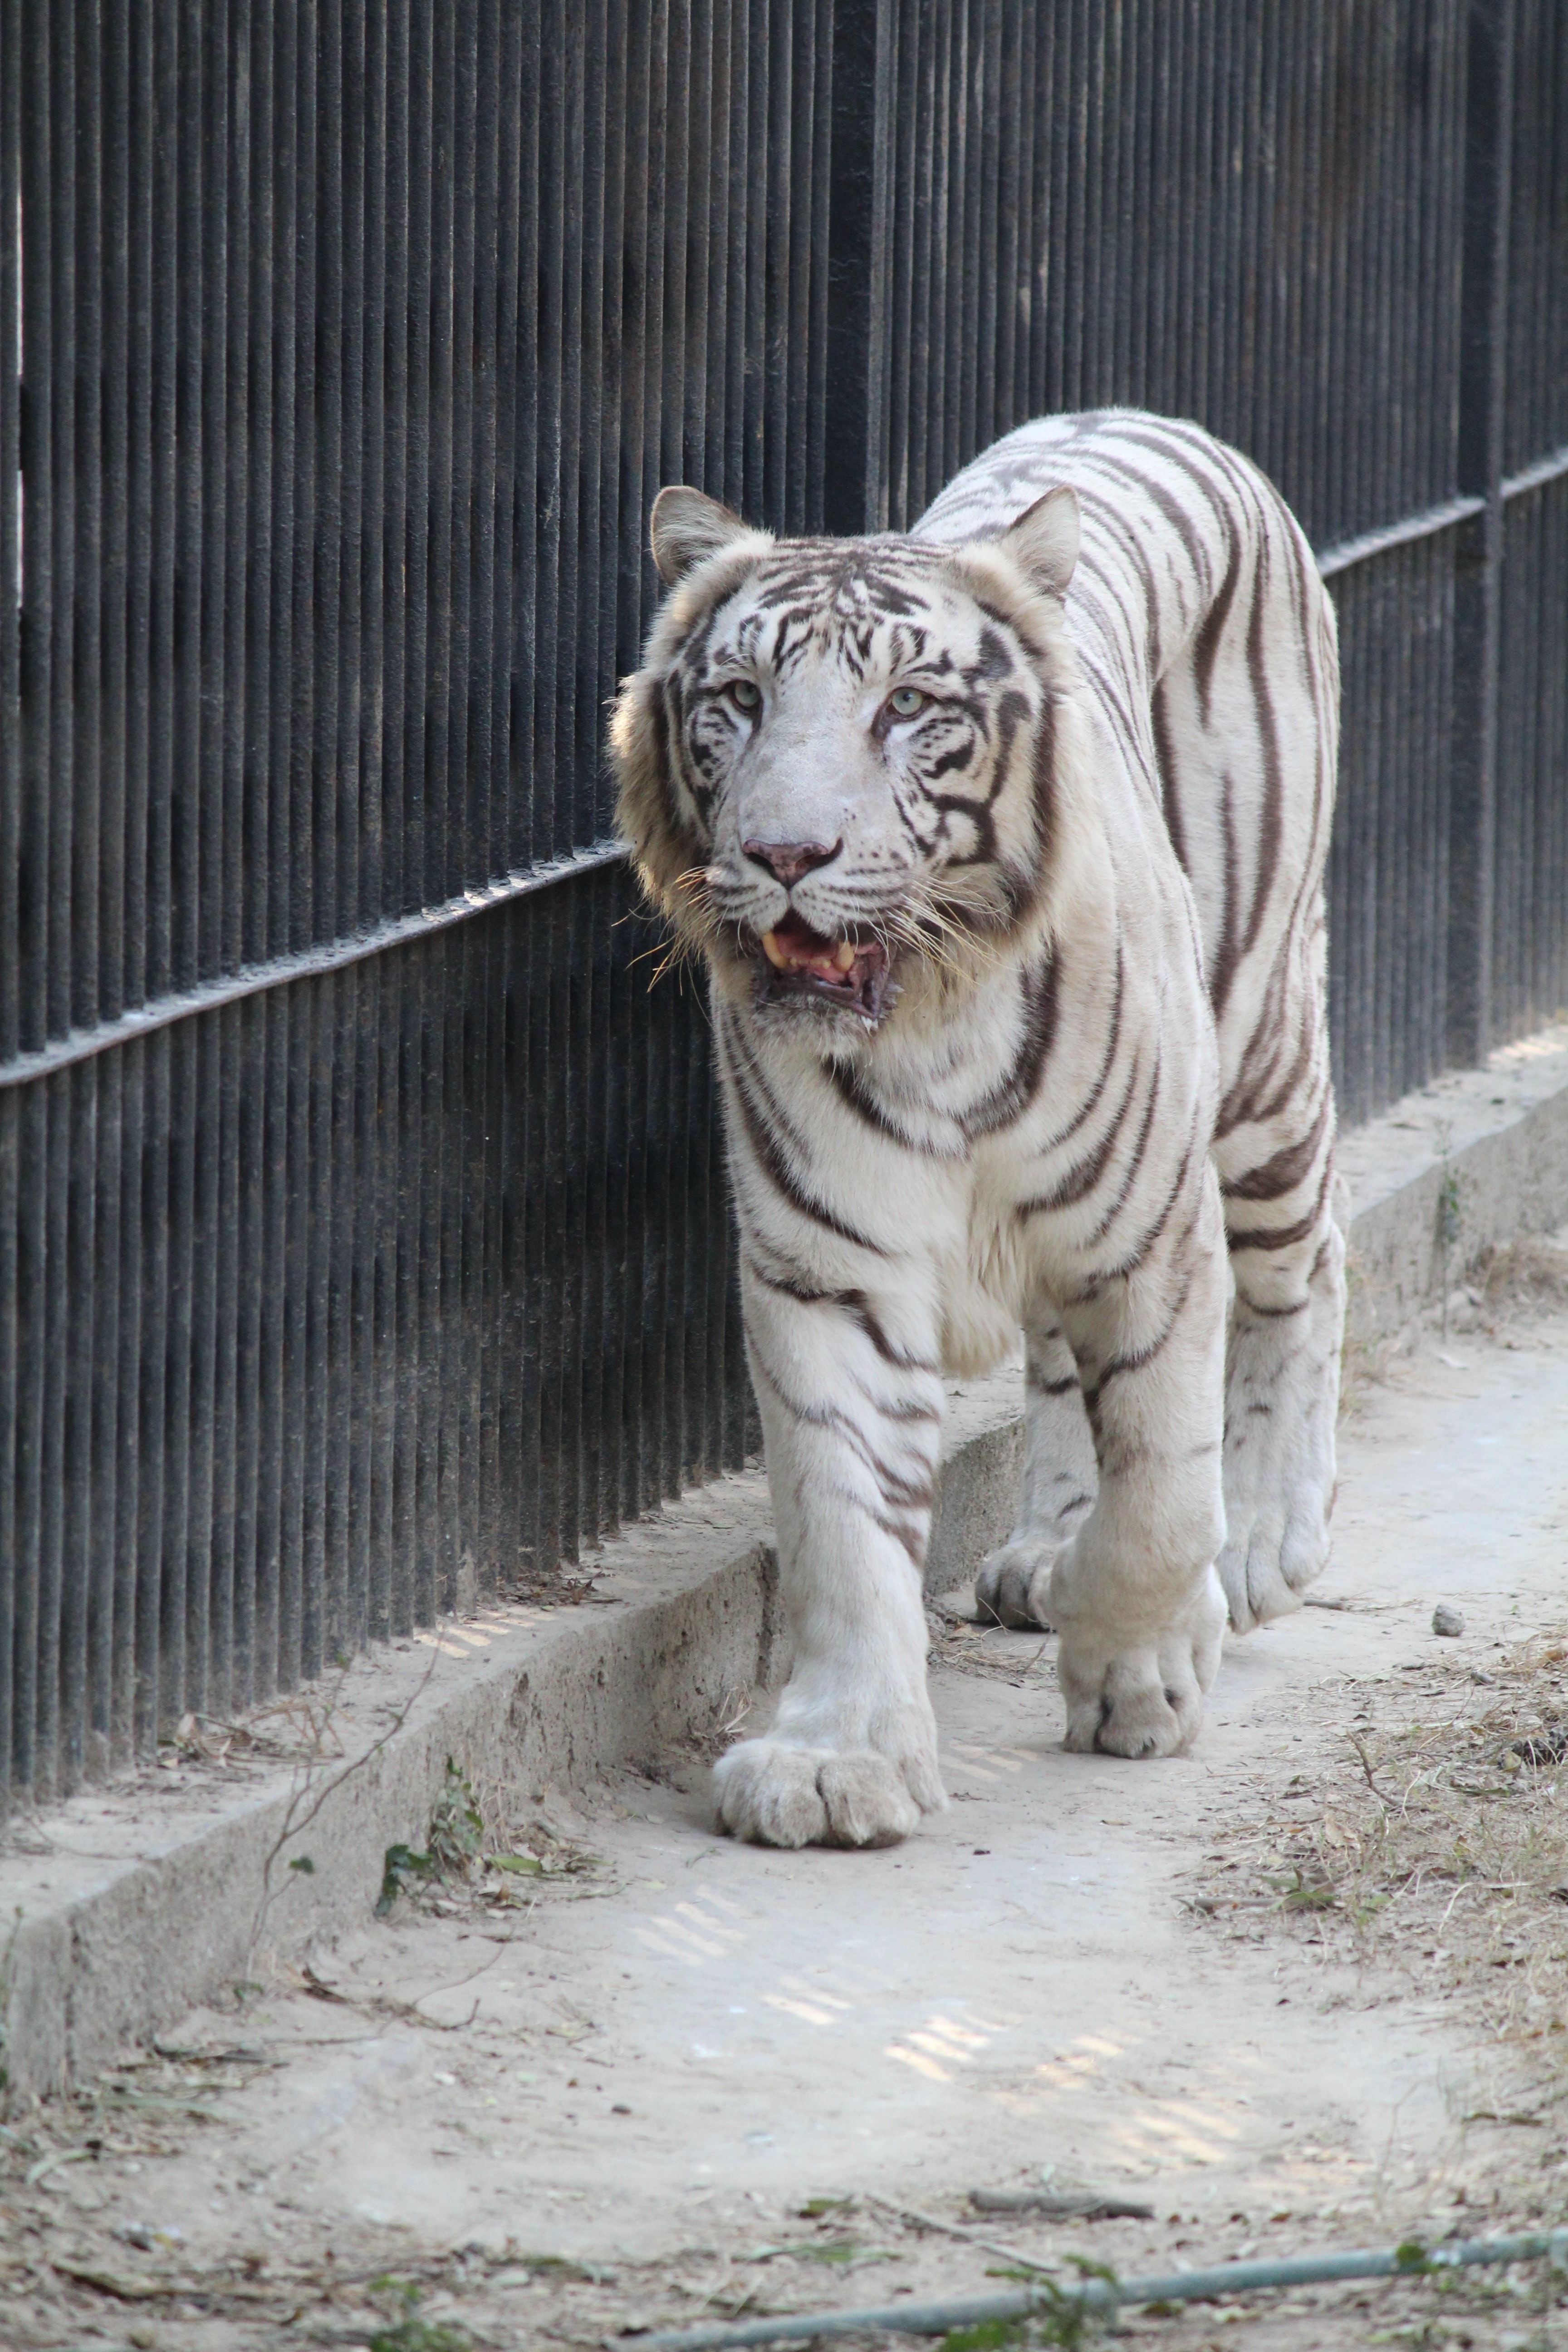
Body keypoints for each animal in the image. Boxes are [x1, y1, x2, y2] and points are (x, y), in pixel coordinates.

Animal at [611, 408, 1344, 1850]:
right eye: (740, 699)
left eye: (906, 707)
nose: (784, 854)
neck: (929, 1021)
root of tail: (1152, 416)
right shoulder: (830, 1269)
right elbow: (842, 1525)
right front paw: (834, 1763)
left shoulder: (1157, 1245)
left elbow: (1160, 1491)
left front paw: (1145, 1670)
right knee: (1061, 1369)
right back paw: (1045, 1547)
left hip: (1261, 1055)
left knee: (1306, 1263)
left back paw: (1264, 1541)